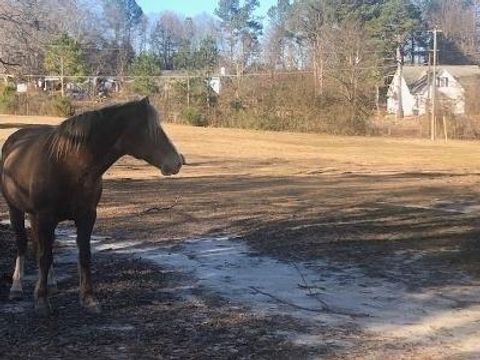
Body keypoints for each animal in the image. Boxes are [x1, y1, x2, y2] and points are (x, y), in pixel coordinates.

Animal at [0, 98, 182, 316]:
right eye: (149, 129)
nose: (177, 162)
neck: (68, 165)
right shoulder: (44, 217)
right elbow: (44, 256)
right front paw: (42, 301)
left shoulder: (86, 217)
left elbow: (83, 256)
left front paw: (88, 299)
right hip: (16, 210)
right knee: (23, 245)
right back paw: (16, 287)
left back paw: (51, 282)